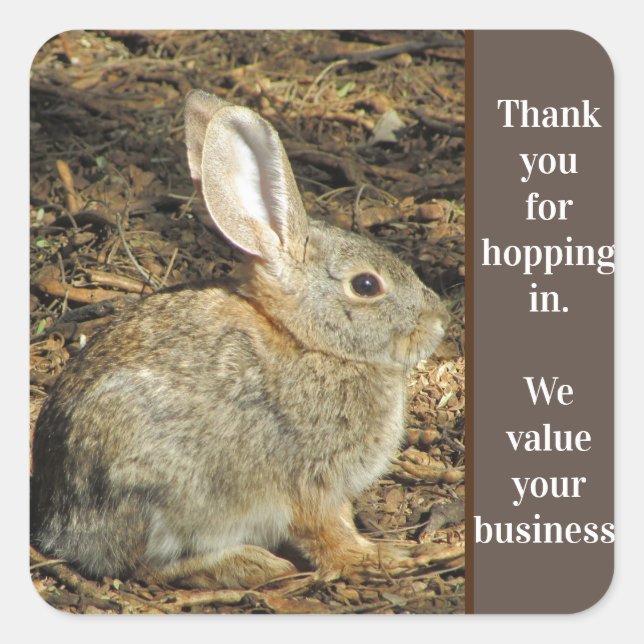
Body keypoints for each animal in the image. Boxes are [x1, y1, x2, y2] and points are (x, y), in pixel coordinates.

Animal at [30, 90, 449, 590]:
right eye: (366, 285)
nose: (439, 320)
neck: (309, 342)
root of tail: (62, 527)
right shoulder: (311, 482)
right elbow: (329, 533)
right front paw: (380, 557)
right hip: (167, 493)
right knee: (146, 567)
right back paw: (252, 564)